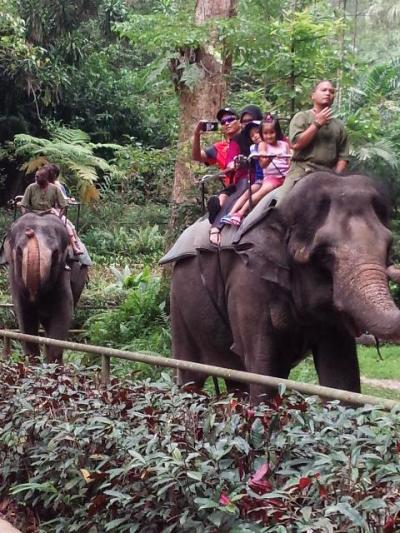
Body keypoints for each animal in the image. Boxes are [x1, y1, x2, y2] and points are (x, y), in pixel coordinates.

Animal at [3, 212, 88, 362]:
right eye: (19, 252)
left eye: (55, 254)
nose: (29, 232)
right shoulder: (14, 276)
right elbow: (24, 314)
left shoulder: (63, 272)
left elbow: (63, 311)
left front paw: (51, 366)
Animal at [162, 171, 400, 400]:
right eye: (324, 254)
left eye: (388, 246)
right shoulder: (246, 280)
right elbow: (263, 372)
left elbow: (340, 377)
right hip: (180, 300)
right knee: (191, 377)